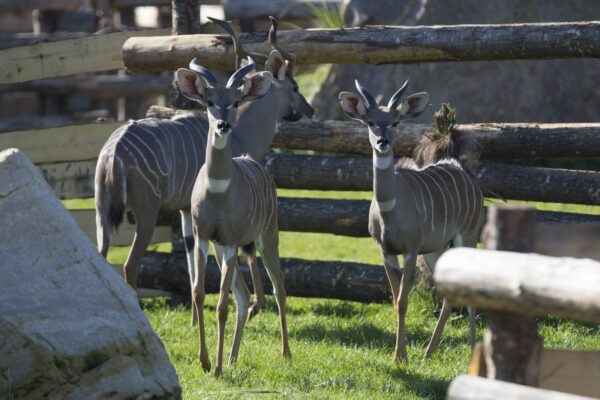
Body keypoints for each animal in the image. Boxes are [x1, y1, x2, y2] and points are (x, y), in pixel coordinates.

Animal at [95, 17, 312, 318]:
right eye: (295, 87)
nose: (309, 110)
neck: (242, 132)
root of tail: (114, 150)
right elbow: (243, 253)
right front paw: (254, 306)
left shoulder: (188, 211)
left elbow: (192, 266)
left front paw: (195, 320)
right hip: (146, 211)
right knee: (129, 264)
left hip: (101, 209)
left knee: (100, 255)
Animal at [176, 57, 290, 378]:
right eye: (209, 101)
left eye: (236, 101)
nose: (223, 125)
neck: (218, 192)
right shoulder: (204, 237)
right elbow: (199, 293)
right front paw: (205, 361)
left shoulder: (230, 241)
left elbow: (221, 305)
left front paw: (214, 367)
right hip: (224, 249)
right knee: (244, 295)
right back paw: (233, 358)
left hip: (267, 237)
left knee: (278, 288)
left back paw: (286, 354)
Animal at [338, 79, 482, 360]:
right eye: (370, 121)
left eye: (395, 122)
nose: (382, 142)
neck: (390, 210)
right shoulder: (385, 251)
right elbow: (395, 302)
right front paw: (401, 355)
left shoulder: (411, 249)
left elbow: (403, 302)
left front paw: (400, 357)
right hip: (437, 249)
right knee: (448, 294)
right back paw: (428, 353)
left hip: (466, 237)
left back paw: (471, 349)